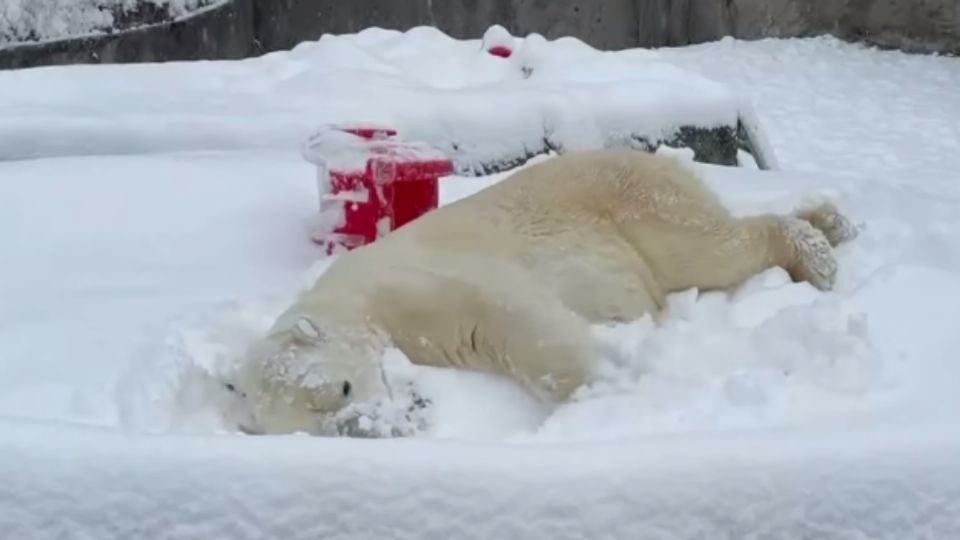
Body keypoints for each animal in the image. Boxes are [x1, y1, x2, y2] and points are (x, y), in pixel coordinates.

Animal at [225, 148, 856, 434]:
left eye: (343, 387)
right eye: (316, 424)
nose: (369, 426)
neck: (353, 298)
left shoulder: (421, 285)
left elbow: (517, 321)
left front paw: (600, 393)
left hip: (630, 202)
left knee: (709, 249)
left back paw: (818, 252)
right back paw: (829, 221)